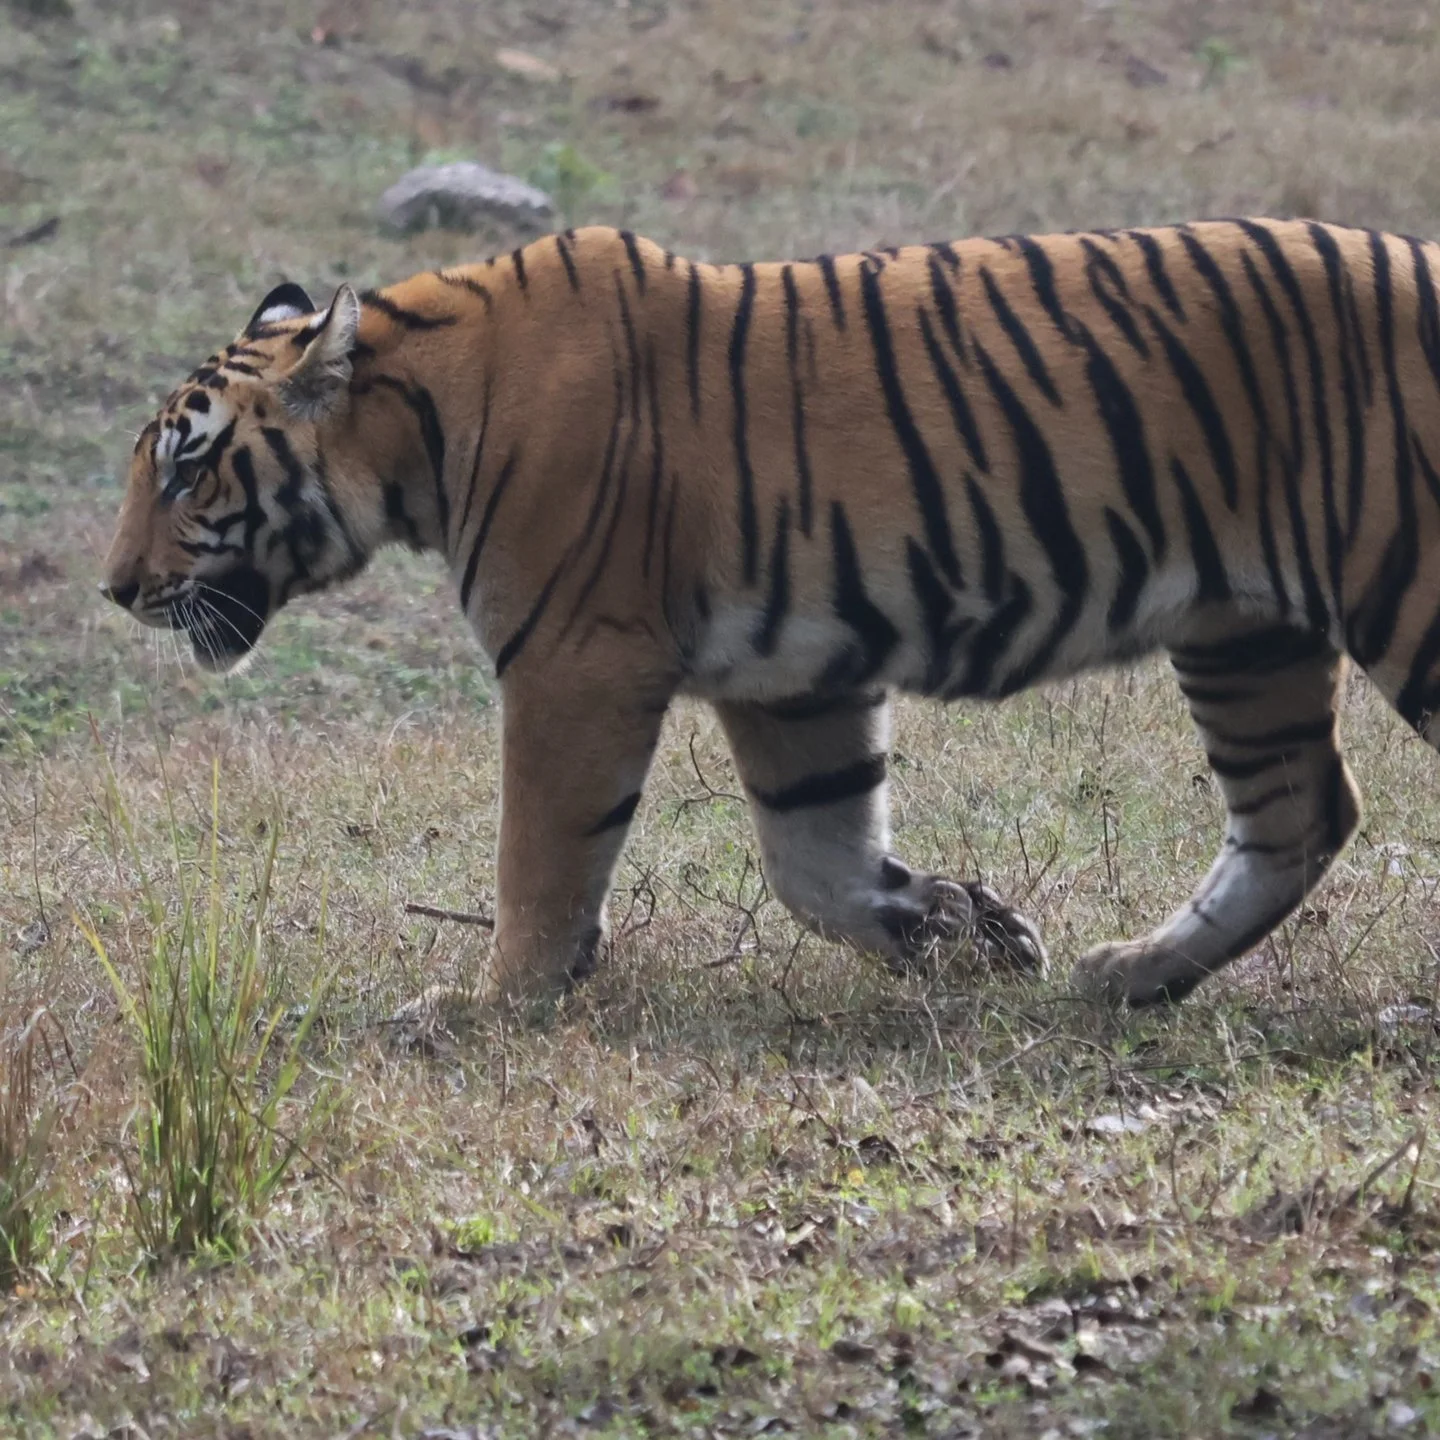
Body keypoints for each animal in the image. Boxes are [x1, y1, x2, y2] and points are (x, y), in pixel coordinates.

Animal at [100, 219, 1440, 1009]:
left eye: (186, 468)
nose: (115, 588)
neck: (417, 415)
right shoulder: (795, 678)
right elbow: (816, 862)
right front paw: (963, 931)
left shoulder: (573, 664)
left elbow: (541, 854)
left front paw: (494, 1003)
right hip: (1242, 631)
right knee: (1298, 812)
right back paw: (1133, 975)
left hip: (1398, 590)